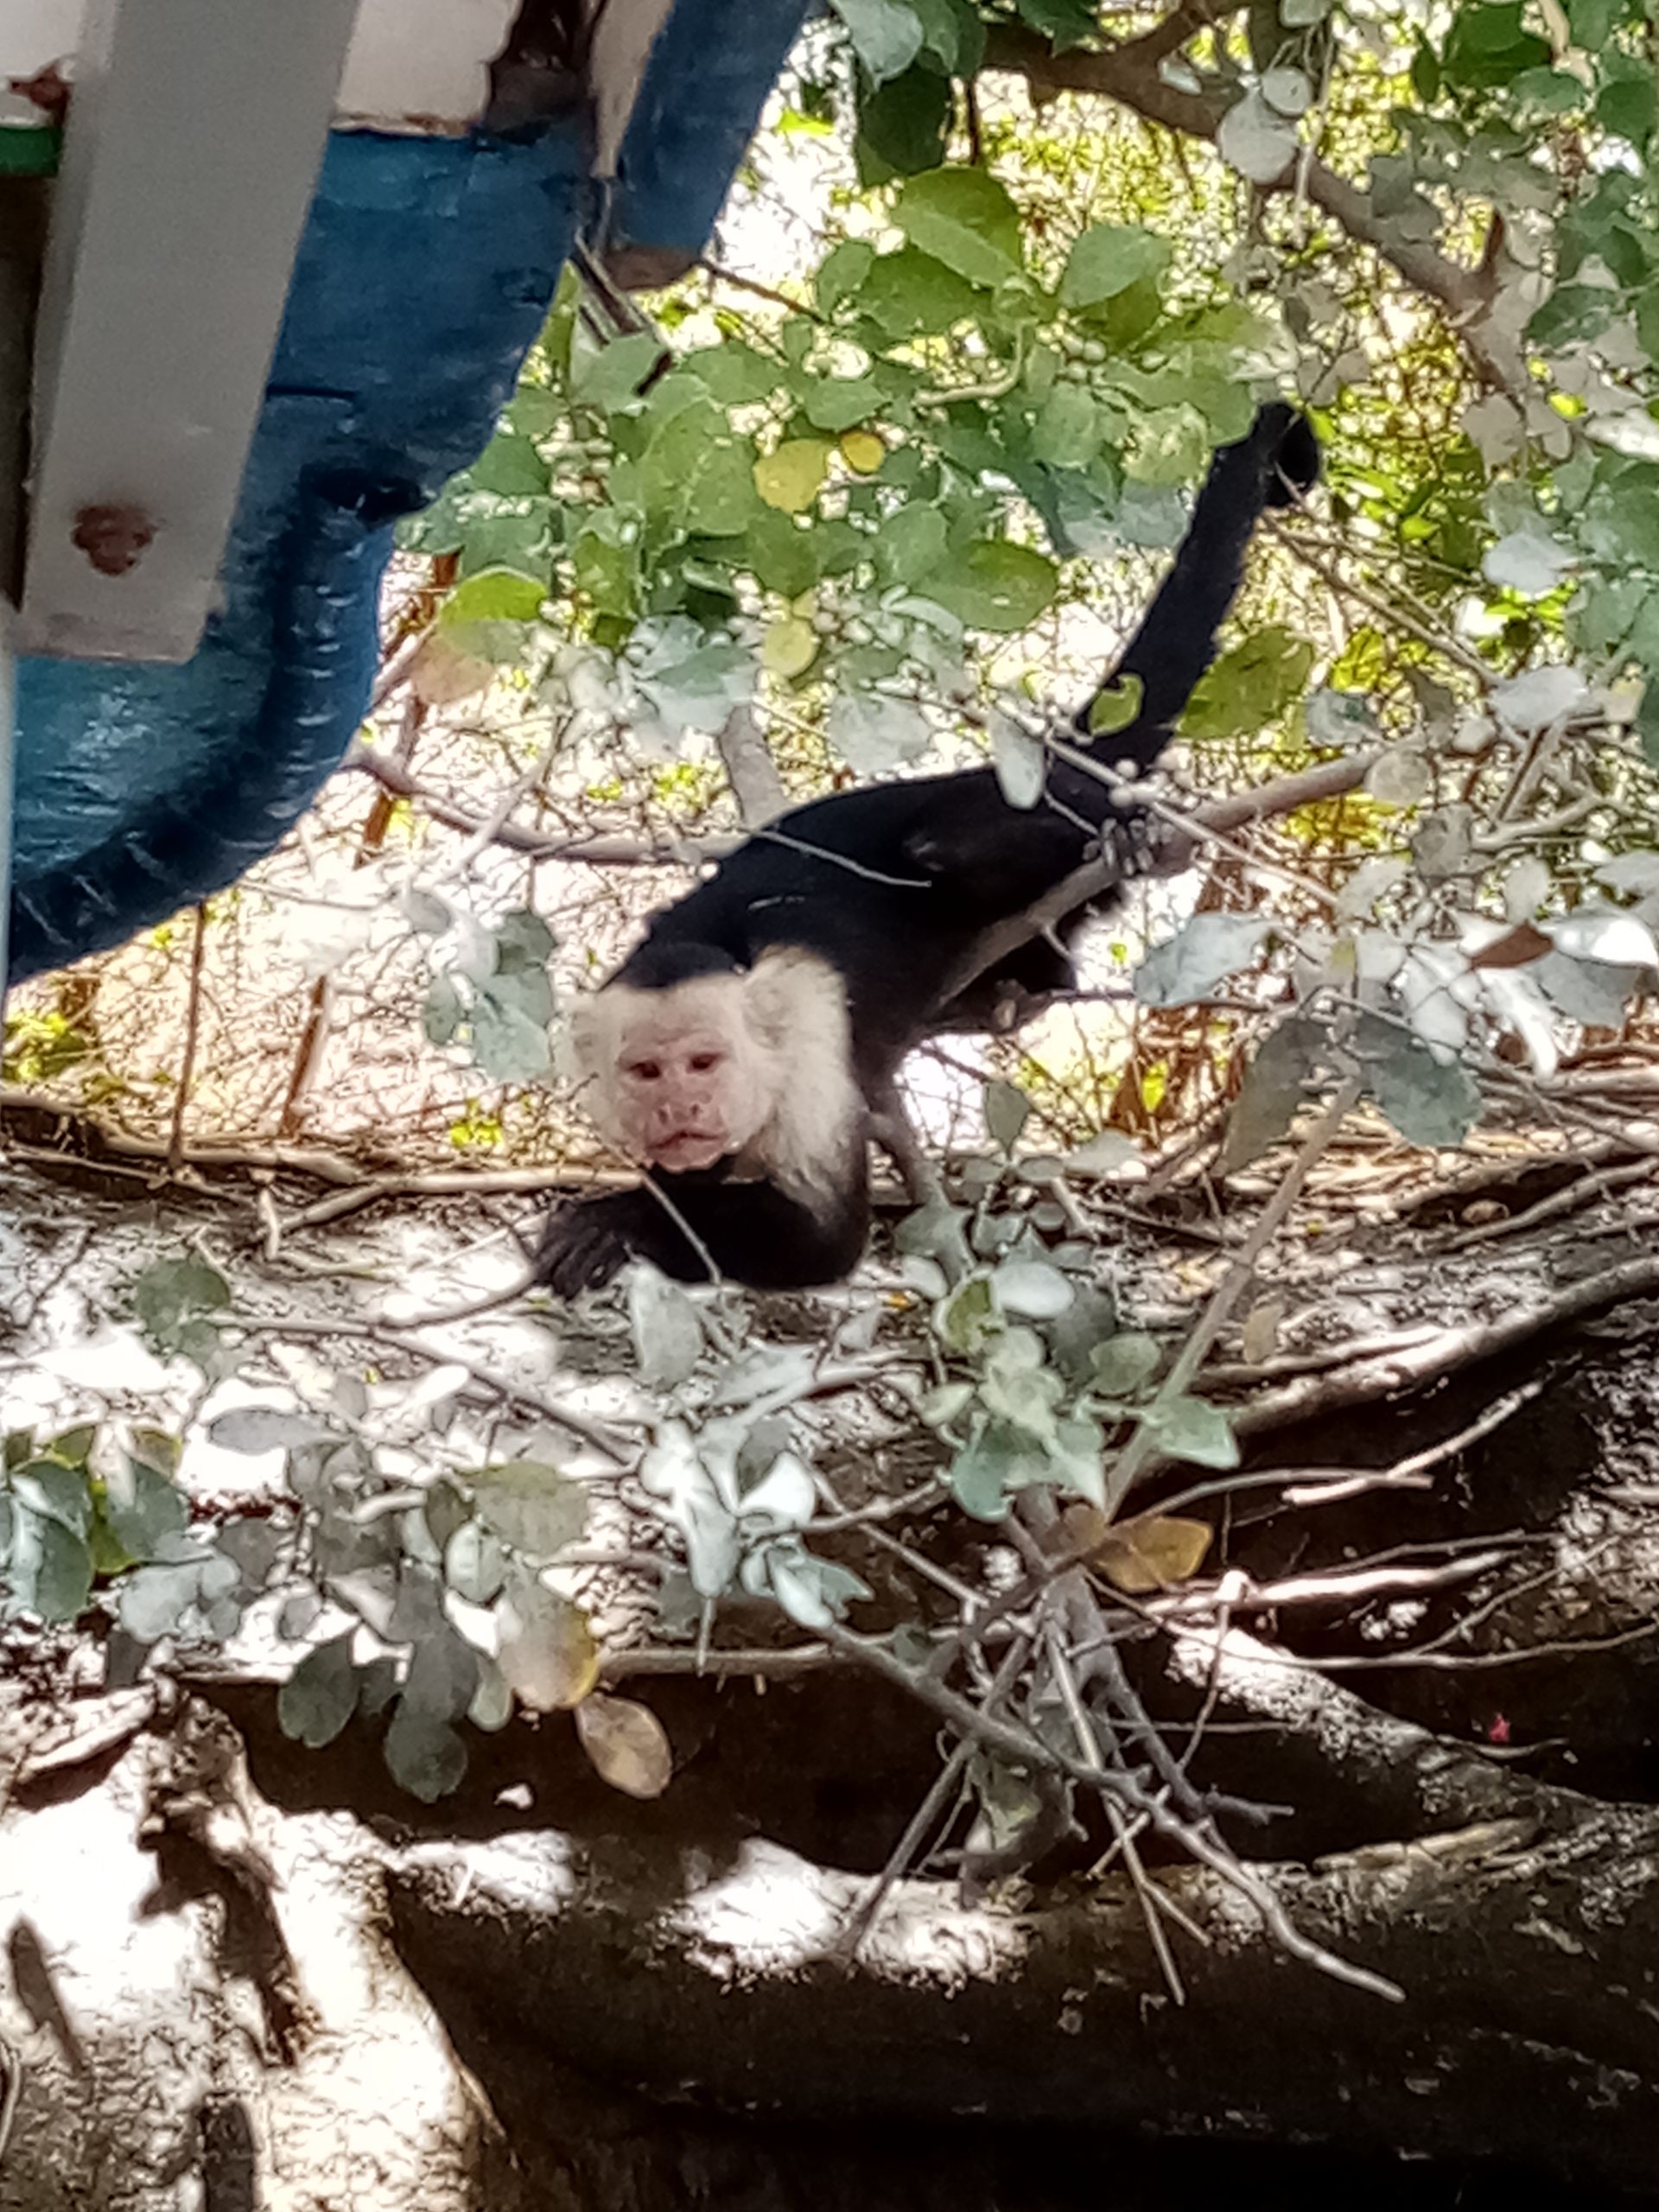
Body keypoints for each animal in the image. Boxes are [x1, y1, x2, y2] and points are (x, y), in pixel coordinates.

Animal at [533, 402, 1320, 1298]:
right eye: (646, 1075)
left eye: (704, 1063)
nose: (680, 1111)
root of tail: (1032, 770)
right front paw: (650, 1193)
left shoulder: (804, 1025)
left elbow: (824, 1238)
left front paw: (618, 1219)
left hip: (1019, 807)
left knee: (947, 844)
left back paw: (1130, 836)